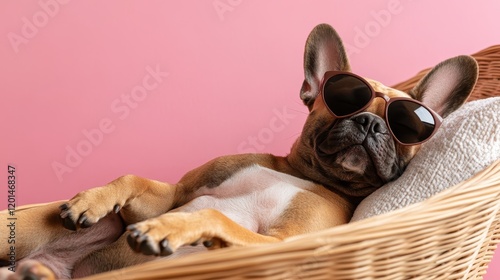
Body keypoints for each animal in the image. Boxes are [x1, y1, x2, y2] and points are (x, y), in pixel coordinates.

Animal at [0, 24, 476, 280]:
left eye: (406, 127)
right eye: (343, 99)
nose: (370, 123)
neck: (303, 175)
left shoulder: (280, 243)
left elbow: (212, 215)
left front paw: (168, 230)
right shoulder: (173, 194)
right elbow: (135, 179)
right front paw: (92, 200)